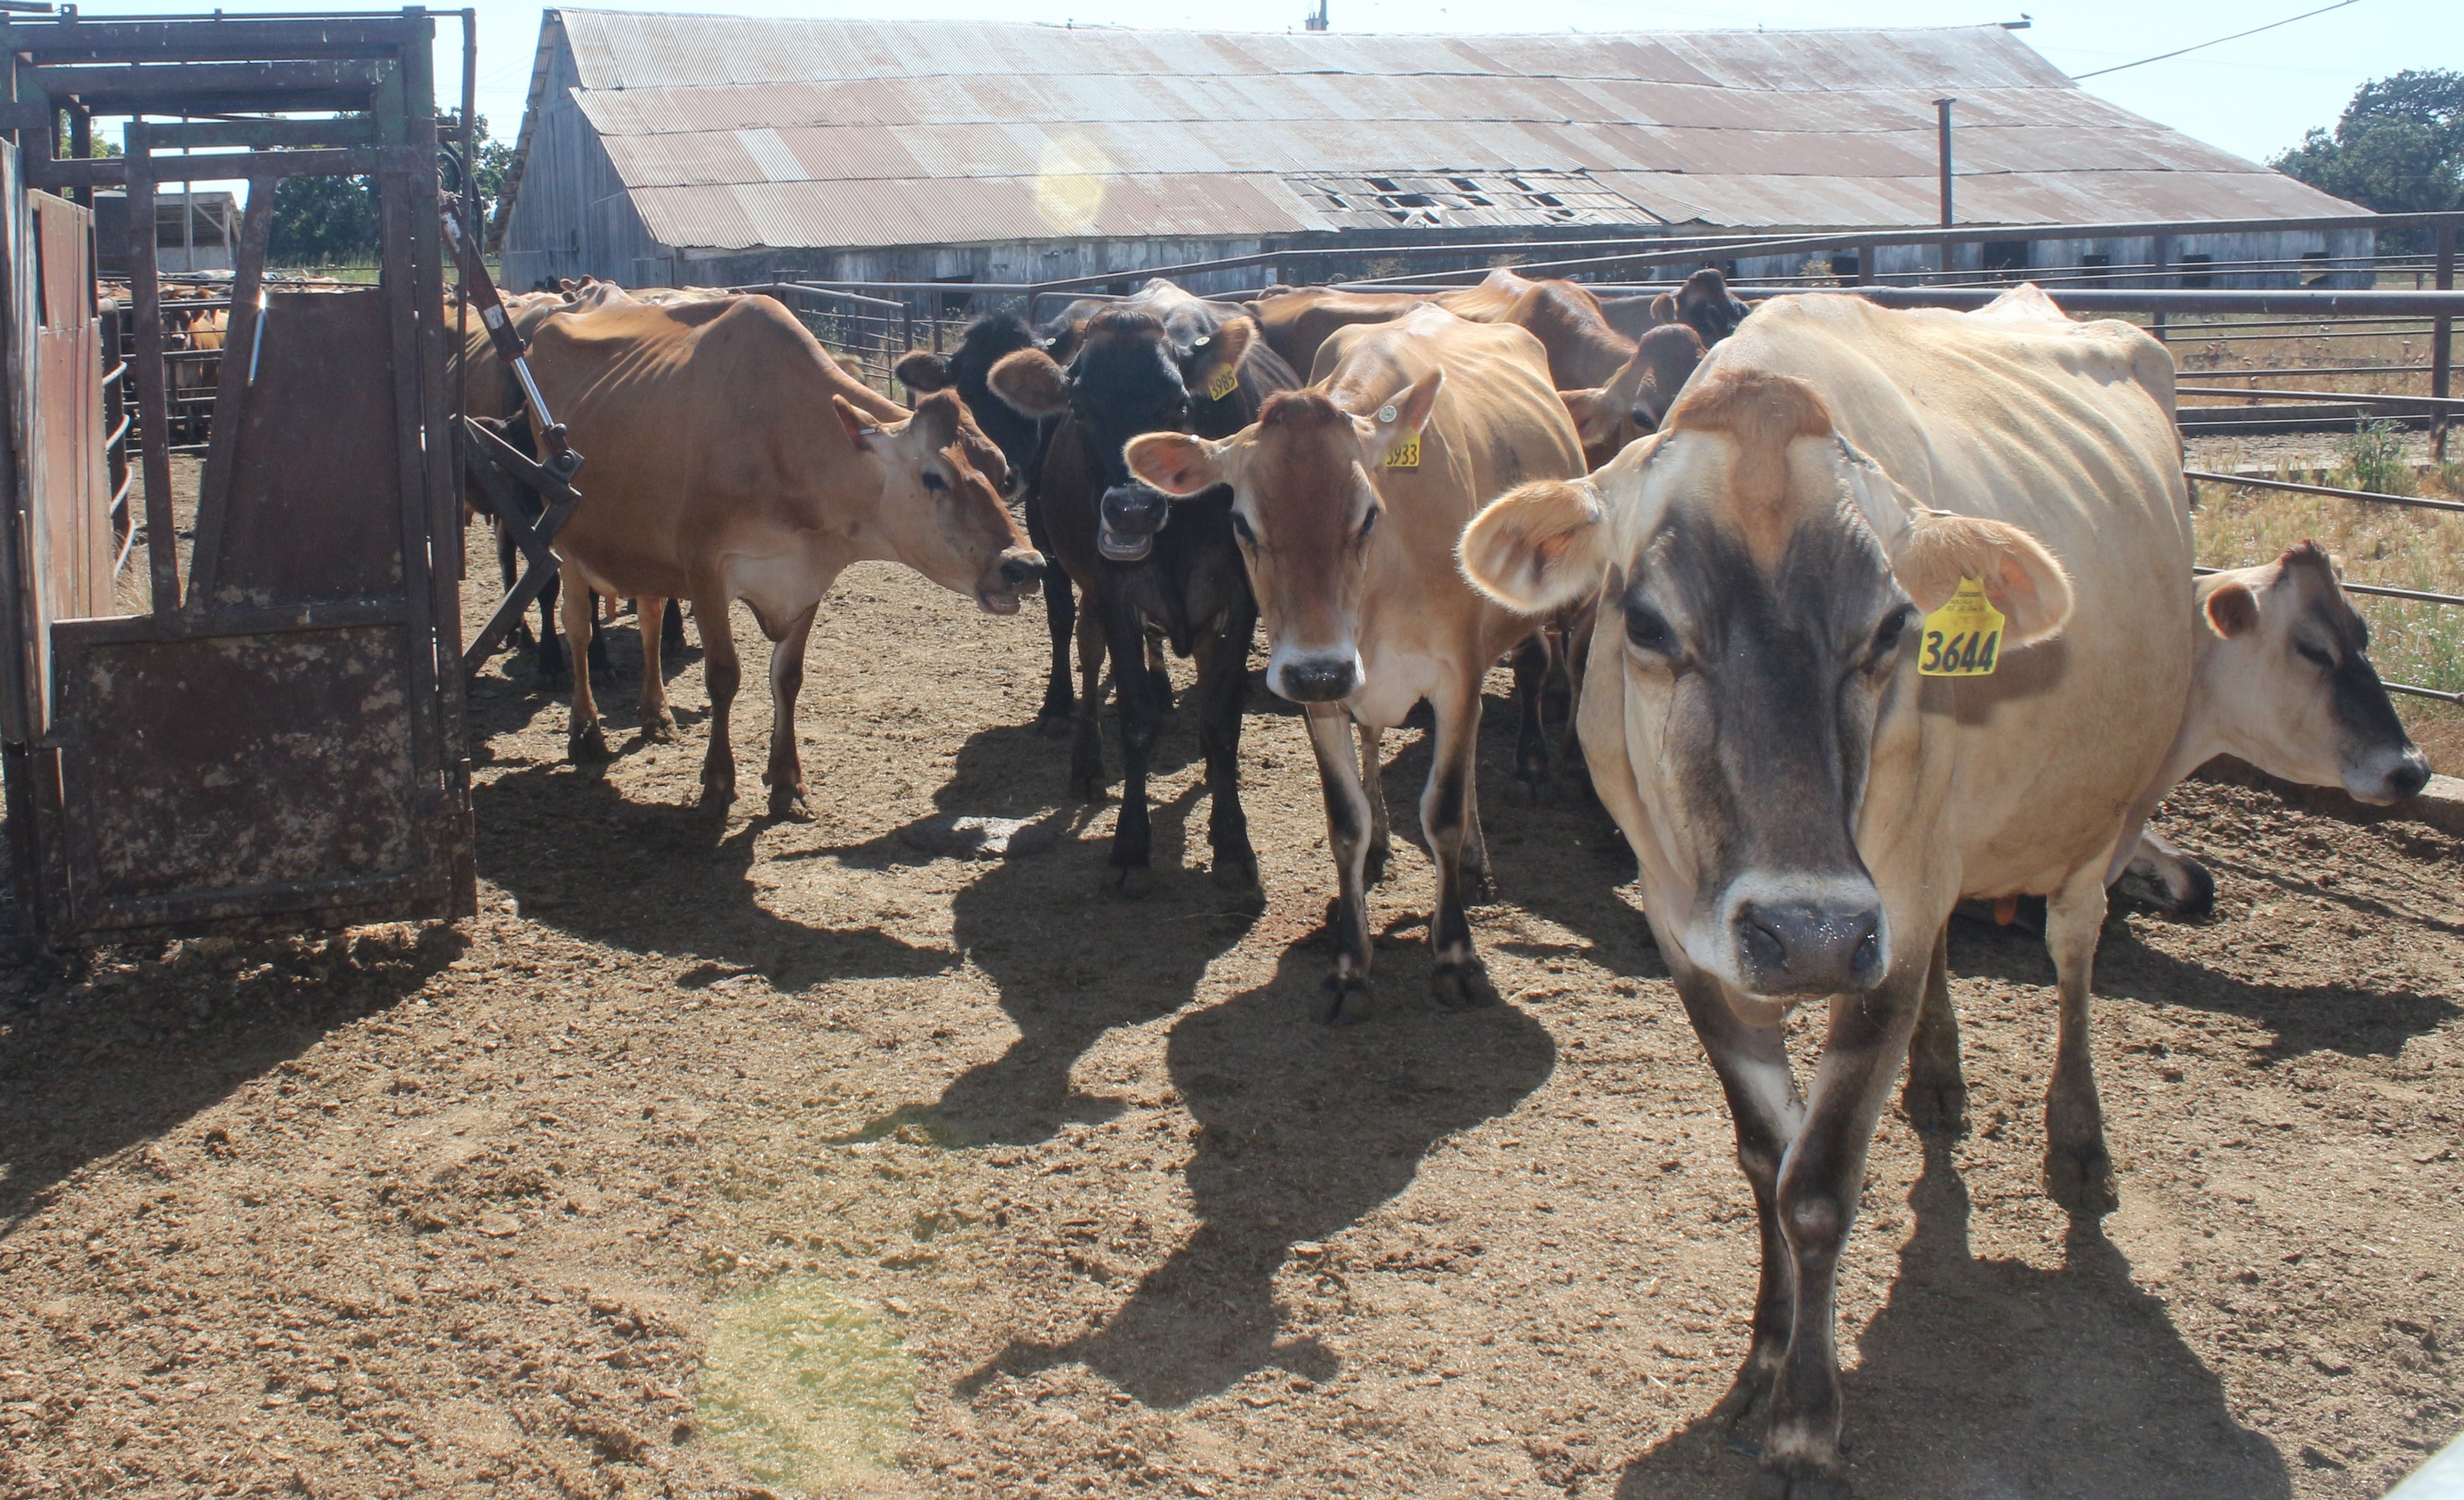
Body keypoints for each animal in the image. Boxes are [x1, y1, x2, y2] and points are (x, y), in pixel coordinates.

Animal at [519, 293, 1039, 819]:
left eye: (1000, 472)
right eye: (933, 477)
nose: (1025, 565)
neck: (781, 440)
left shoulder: (807, 577)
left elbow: (788, 677)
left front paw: (787, 779)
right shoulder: (704, 569)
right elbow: (723, 675)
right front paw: (718, 780)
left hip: (643, 551)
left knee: (648, 617)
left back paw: (656, 713)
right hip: (565, 537)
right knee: (578, 627)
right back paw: (585, 730)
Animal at [983, 280, 1301, 892]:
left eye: (1179, 406)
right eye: (1079, 409)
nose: (1131, 510)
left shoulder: (1242, 597)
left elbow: (1222, 715)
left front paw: (1232, 842)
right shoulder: (1114, 593)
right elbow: (1133, 715)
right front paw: (1131, 843)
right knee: (1081, 644)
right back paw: (1081, 750)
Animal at [1127, 305, 1586, 1018]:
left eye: (1368, 514)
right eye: (1242, 522)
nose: (1322, 669)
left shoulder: (1457, 678)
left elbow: (1445, 810)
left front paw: (1455, 955)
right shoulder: (1318, 693)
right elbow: (1345, 820)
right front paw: (1349, 960)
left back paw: (1476, 861)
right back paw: (1381, 851)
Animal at [1461, 284, 2190, 1494]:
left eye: (1894, 626)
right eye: (1645, 623)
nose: (1805, 932)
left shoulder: (1882, 921)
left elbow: (1818, 1182)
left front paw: (1806, 1419)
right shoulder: (1691, 931)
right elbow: (1769, 1156)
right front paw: (1759, 1362)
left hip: (2106, 809)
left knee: (2076, 949)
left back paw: (2079, 1144)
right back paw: (1938, 1079)